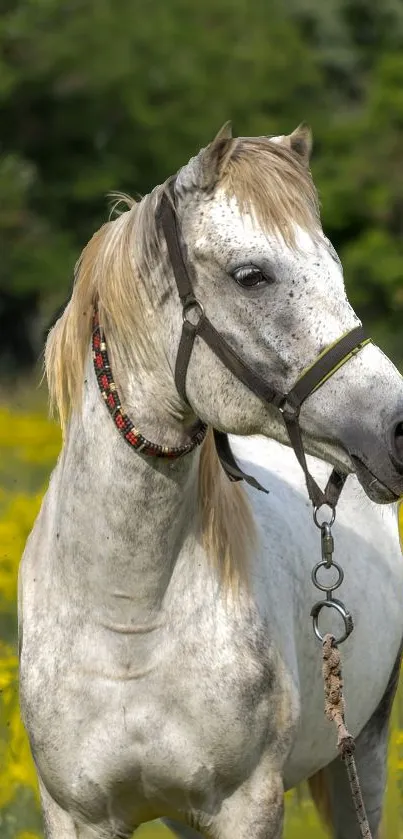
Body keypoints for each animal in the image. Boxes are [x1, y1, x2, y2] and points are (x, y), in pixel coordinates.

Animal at [19, 126, 403, 839]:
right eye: (251, 276)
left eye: (335, 270)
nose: (398, 428)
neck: (129, 617)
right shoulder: (79, 814)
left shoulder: (247, 805)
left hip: (362, 751)